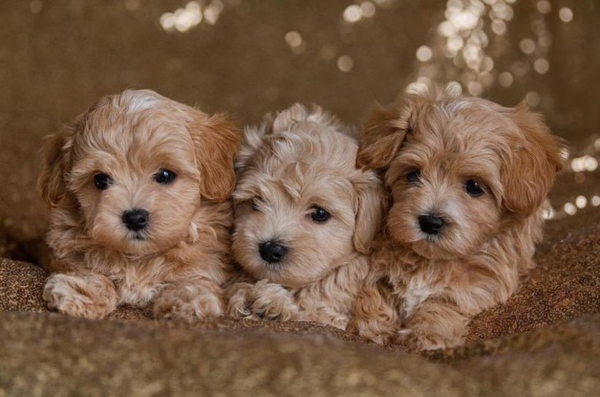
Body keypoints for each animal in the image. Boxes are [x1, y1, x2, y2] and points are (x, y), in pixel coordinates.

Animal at [38, 88, 241, 320]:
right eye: (100, 180)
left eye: (165, 175)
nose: (135, 218)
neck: (139, 258)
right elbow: (87, 268)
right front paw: (82, 291)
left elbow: (196, 278)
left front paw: (188, 299)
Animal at [225, 103, 384, 328]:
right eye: (256, 201)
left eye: (319, 213)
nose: (270, 249)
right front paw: (248, 296)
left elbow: (314, 312)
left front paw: (269, 301)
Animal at [350, 90, 564, 350]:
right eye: (413, 175)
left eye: (473, 186)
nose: (430, 222)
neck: (431, 261)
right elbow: (371, 292)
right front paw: (373, 327)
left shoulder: (483, 283)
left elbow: (445, 302)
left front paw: (428, 334)